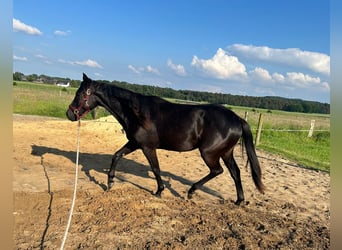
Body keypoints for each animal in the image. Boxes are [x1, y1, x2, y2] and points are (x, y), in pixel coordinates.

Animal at [66, 73, 264, 204]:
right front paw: (110, 182)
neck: (136, 112)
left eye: (80, 94)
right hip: (226, 153)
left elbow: (155, 168)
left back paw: (191, 192)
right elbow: (116, 155)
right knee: (235, 173)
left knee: (218, 171)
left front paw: (159, 191)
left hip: (209, 153)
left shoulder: (147, 147)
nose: (69, 114)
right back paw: (239, 201)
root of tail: (237, 119)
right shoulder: (135, 143)